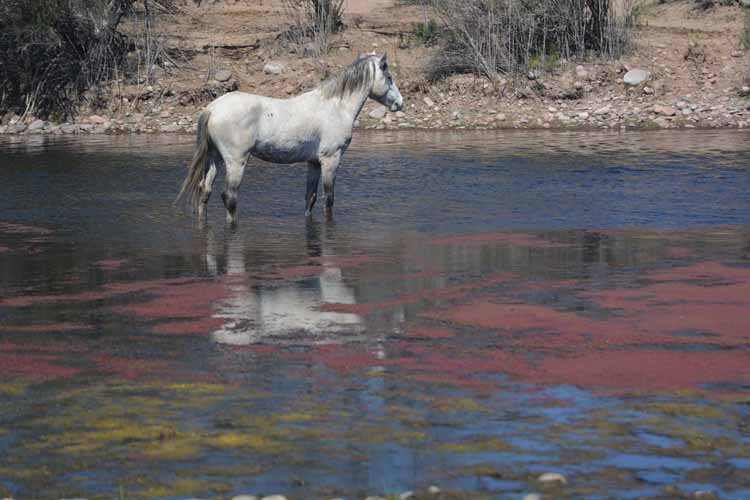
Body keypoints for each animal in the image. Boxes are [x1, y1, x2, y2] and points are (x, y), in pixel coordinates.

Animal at [177, 52, 406, 223]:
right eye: (389, 77)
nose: (400, 103)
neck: (336, 106)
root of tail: (212, 109)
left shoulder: (314, 163)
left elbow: (310, 198)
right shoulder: (331, 159)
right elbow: (329, 199)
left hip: (214, 159)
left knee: (204, 191)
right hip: (236, 161)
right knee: (229, 197)